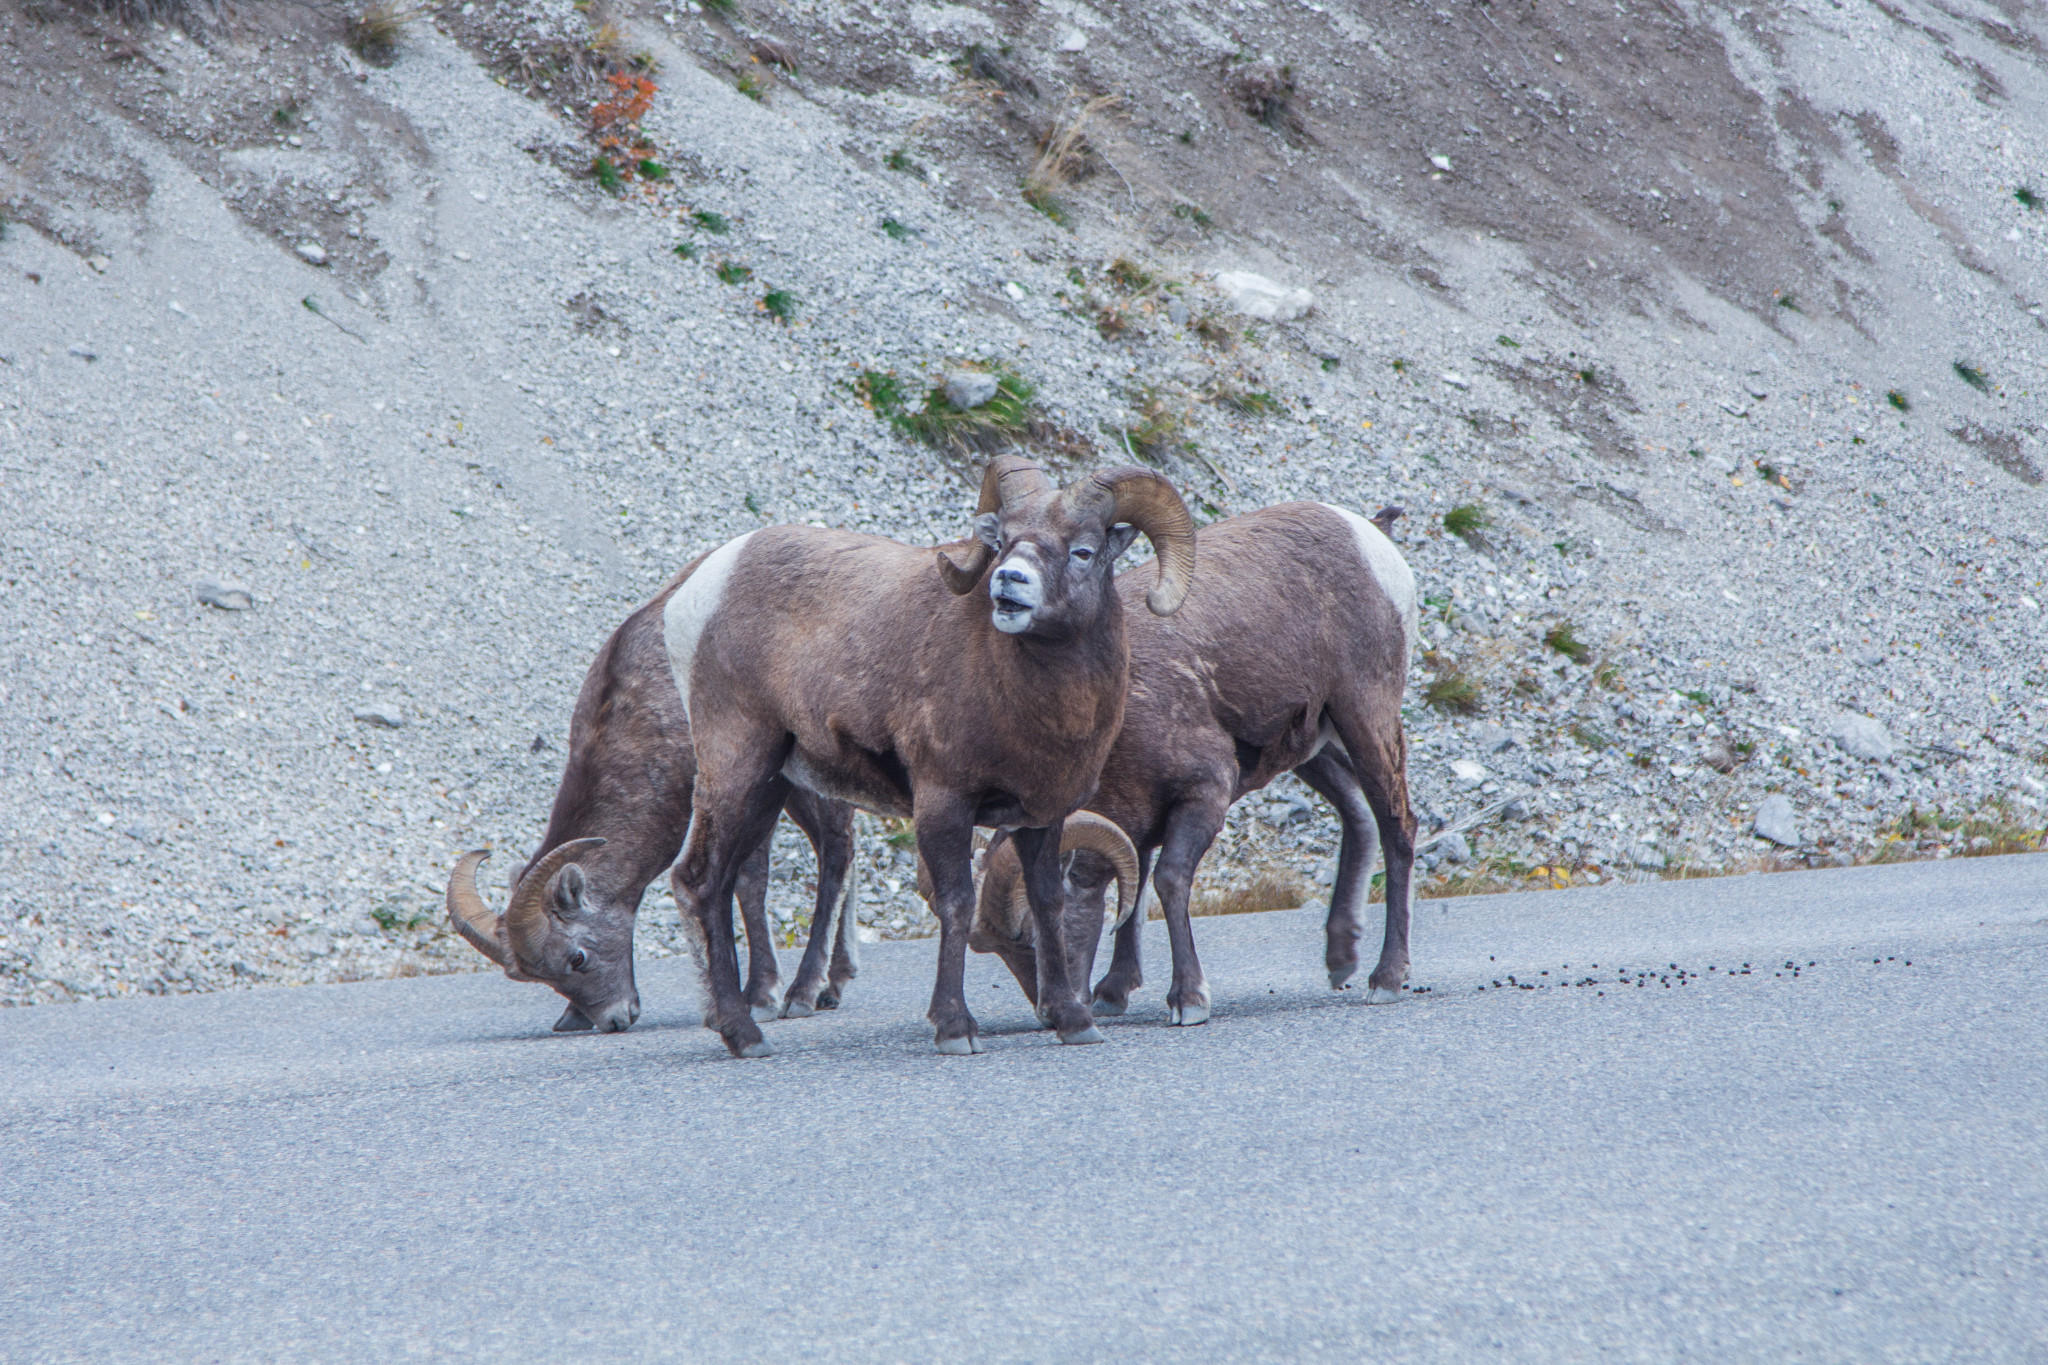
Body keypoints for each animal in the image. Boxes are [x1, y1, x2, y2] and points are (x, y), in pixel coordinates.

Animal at [444, 564, 860, 1035]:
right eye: (537, 977)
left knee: (837, 852)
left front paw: (759, 999)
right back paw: (832, 987)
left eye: (577, 957)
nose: (613, 1019)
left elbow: (748, 885)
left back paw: (803, 993)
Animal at [663, 454, 1196, 1064]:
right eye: (1004, 541)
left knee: (721, 883)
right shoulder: (944, 804)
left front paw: (1073, 1021)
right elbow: (957, 906)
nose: (1009, 581)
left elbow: (1047, 906)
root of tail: (697, 590)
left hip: (770, 787)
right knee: (699, 881)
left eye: (1083, 550)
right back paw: (743, 1033)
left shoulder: (1042, 818)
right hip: (737, 765)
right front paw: (955, 1029)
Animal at [966, 501, 1417, 1023]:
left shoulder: (1204, 794)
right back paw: (1341, 959)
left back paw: (1386, 978)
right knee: (1357, 811)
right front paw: (1112, 992)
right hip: (1311, 746)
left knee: (1397, 825)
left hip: (1365, 718)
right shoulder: (1136, 817)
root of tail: (1369, 532)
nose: (1048, 1014)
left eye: (1034, 933)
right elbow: (1135, 890)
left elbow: (1168, 880)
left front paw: (1188, 999)